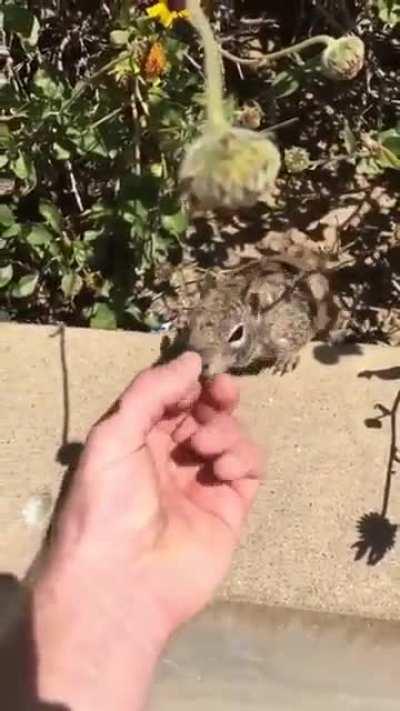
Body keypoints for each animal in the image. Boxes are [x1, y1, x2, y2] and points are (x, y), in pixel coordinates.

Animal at [185, 245, 337, 377]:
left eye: (237, 334)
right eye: (190, 324)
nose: (202, 366)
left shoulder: (289, 322)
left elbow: (297, 337)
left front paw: (286, 358)